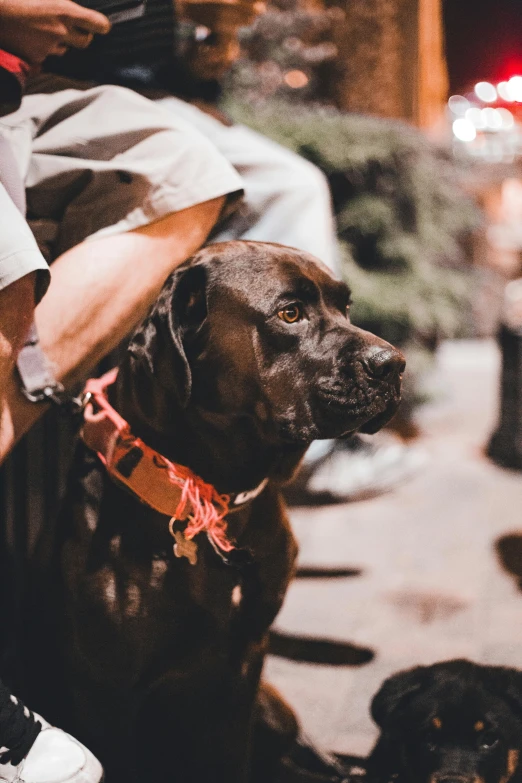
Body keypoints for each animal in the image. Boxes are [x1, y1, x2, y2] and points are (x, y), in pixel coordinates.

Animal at [27, 242, 402, 780]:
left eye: (346, 307)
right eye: (290, 313)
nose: (394, 364)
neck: (218, 495)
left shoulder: (244, 664)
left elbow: (231, 753)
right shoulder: (106, 690)